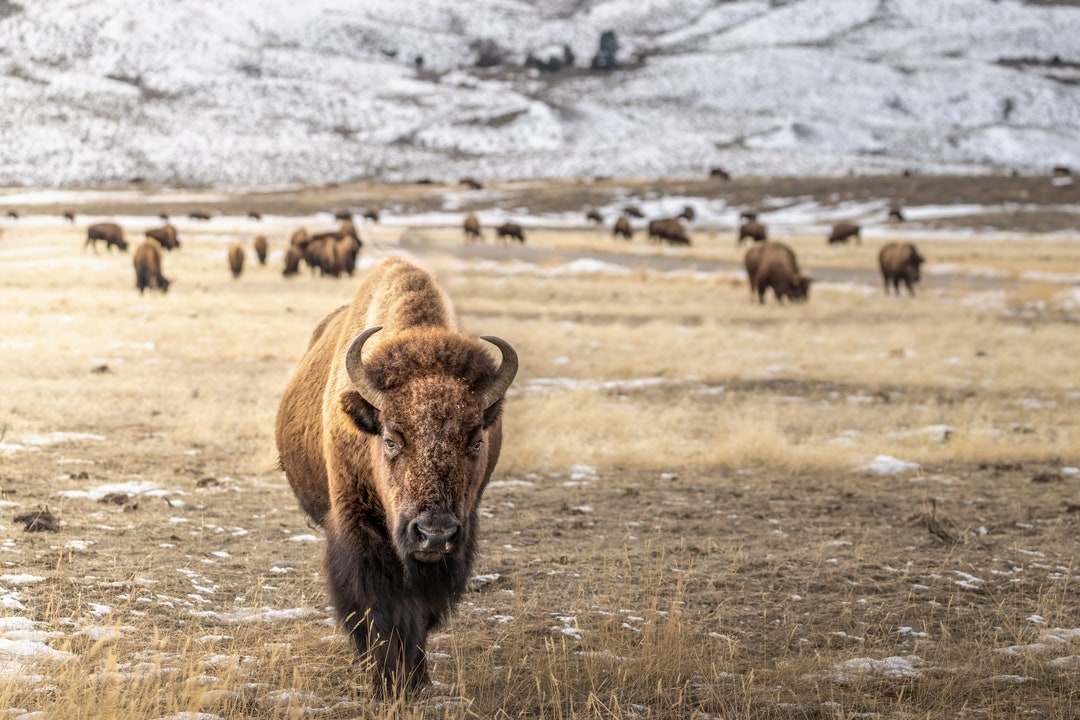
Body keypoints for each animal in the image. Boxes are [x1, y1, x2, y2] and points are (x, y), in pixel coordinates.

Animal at [275, 256, 518, 694]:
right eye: (390, 439)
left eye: (476, 441)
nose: (434, 533)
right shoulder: (361, 530)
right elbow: (379, 605)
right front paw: (388, 681)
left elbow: (420, 610)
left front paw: (415, 679)